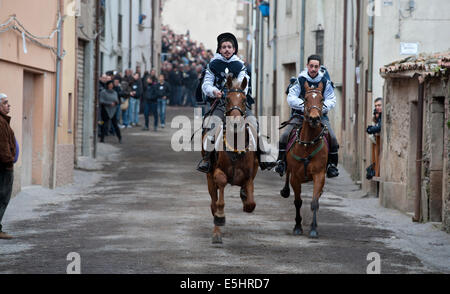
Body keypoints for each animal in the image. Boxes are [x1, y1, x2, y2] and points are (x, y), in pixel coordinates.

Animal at [202, 75, 258, 243]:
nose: (235, 123)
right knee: (213, 203)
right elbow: (220, 196)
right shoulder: (217, 172)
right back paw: (217, 232)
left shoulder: (249, 176)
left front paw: (245, 198)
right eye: (226, 98)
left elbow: (250, 203)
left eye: (244, 99)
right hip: (209, 177)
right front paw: (220, 217)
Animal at [280, 81, 328, 238]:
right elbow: (298, 202)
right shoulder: (295, 177)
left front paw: (313, 228)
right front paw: (297, 226)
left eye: (322, 99)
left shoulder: (319, 175)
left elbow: (314, 202)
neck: (308, 145)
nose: (314, 118)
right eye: (305, 99)